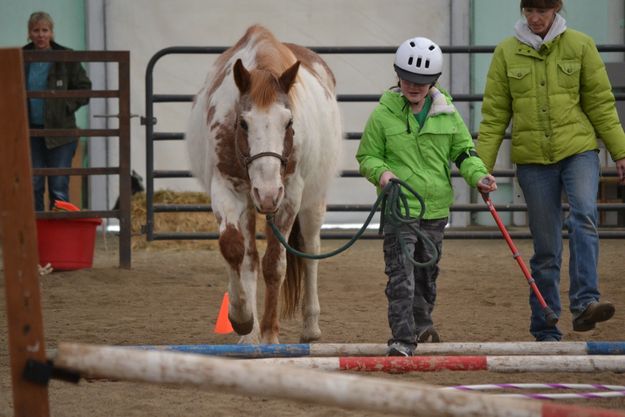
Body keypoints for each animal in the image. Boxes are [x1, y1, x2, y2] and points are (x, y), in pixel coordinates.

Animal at [185, 26, 342, 344]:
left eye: (289, 122)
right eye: (243, 123)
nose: (268, 193)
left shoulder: (289, 196)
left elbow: (274, 265)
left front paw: (270, 336)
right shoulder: (227, 189)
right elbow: (235, 250)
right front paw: (242, 320)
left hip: (312, 203)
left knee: (311, 250)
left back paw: (310, 326)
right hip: (250, 202)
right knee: (249, 259)